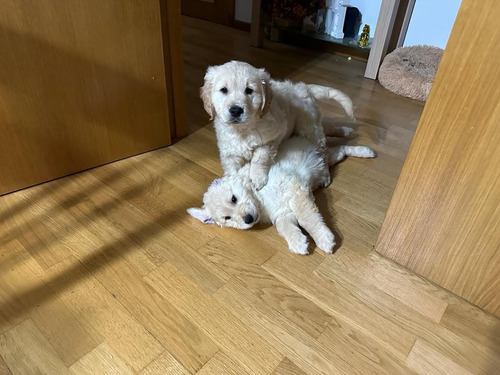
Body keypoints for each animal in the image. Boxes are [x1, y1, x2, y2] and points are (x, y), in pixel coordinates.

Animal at [188, 129, 376, 256]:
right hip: (325, 161)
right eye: (227, 218)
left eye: (234, 199)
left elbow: (307, 219)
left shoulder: (296, 191)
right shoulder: (282, 212)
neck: (261, 200)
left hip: (322, 155)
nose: (248, 219)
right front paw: (298, 242)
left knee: (342, 147)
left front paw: (323, 238)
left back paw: (366, 151)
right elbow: (285, 228)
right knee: (340, 151)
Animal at [200, 62, 356, 191]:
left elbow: (259, 160)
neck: (243, 129)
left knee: (322, 152)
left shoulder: (270, 140)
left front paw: (257, 178)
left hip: (310, 128)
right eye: (224, 90)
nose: (236, 110)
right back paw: (346, 130)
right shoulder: (229, 151)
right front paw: (231, 182)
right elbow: (232, 168)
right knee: (328, 127)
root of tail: (303, 88)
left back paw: (325, 176)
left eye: (249, 90)